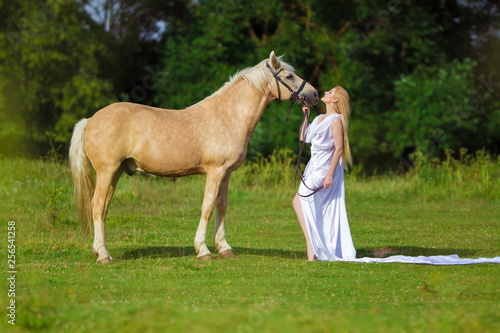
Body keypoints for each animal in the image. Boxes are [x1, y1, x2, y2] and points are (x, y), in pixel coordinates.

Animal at [69, 50, 316, 262]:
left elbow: (222, 206)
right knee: (97, 205)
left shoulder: (226, 174)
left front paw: (224, 248)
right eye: (289, 75)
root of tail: (90, 120)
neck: (227, 116)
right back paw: (103, 255)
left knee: (104, 208)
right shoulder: (215, 171)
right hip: (106, 171)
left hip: (116, 172)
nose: (313, 94)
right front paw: (203, 250)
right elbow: (207, 207)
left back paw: (101, 251)